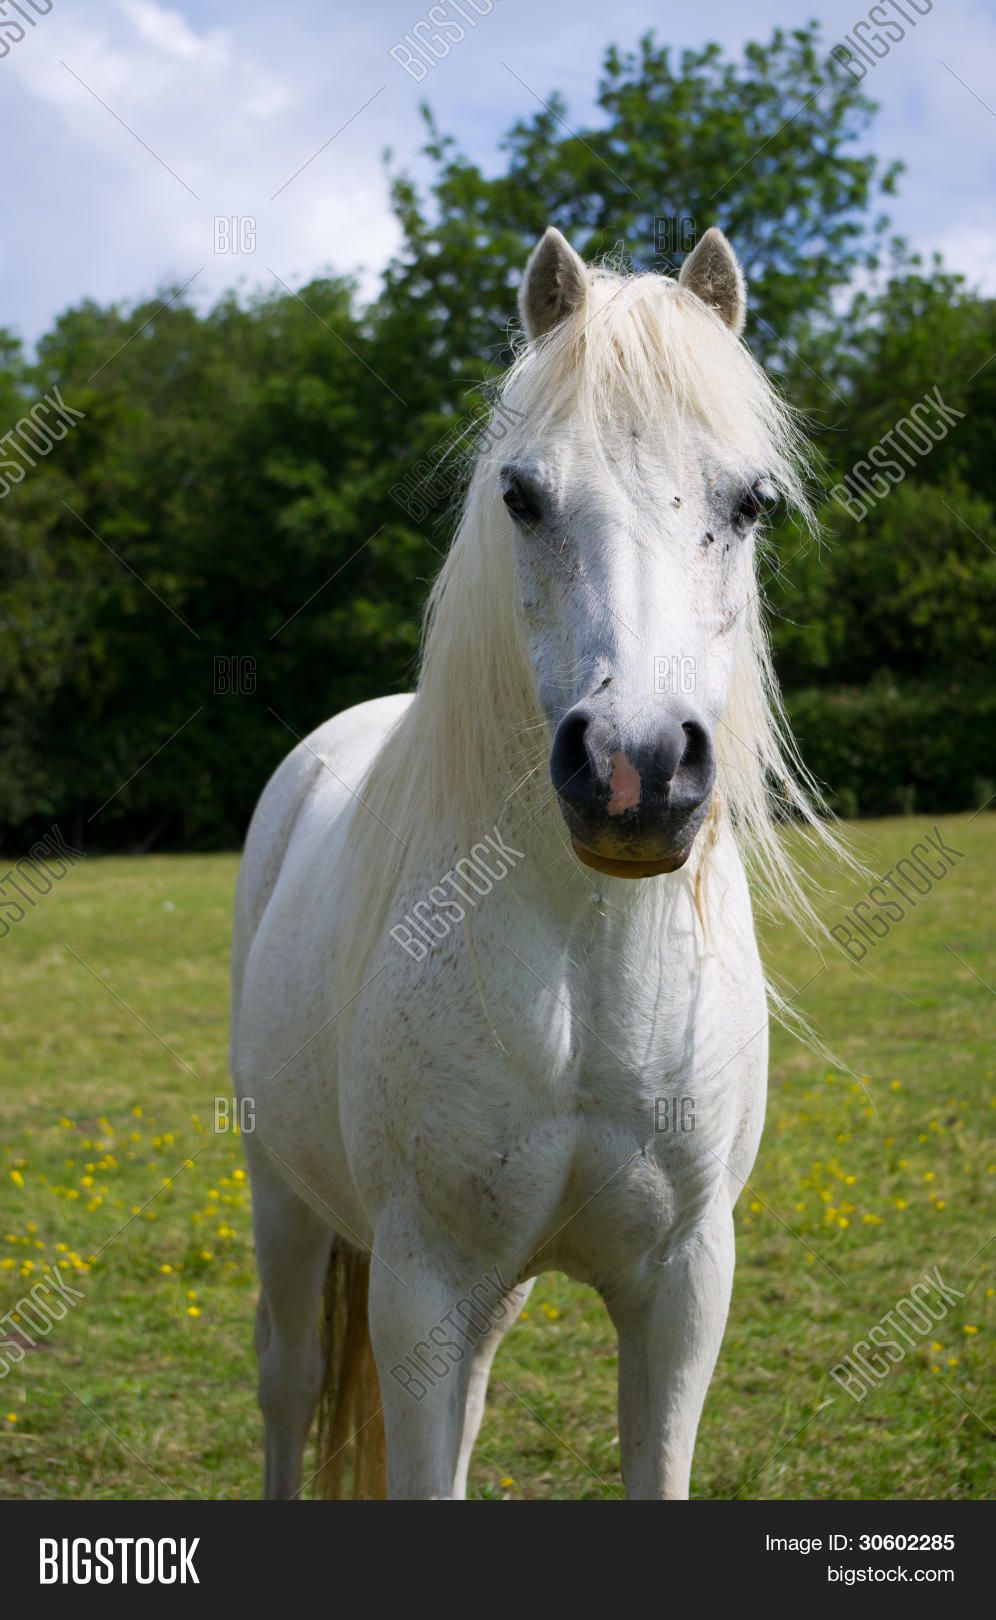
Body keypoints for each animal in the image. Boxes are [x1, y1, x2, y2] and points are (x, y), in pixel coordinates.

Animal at [230, 224, 839, 1499]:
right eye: (521, 496)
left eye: (751, 502)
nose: (636, 771)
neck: (590, 957)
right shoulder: (423, 1288)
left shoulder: (684, 1287)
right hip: (284, 1199)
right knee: (288, 1384)